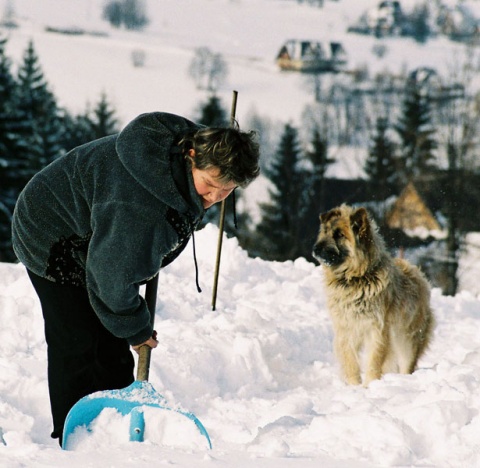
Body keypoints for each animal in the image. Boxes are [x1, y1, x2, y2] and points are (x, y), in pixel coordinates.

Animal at [312, 207, 436, 386]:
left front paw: (369, 386)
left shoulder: (377, 330)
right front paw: (354, 386)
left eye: (340, 235)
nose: (315, 249)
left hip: (407, 340)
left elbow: (373, 361)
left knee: (407, 364)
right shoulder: (346, 329)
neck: (356, 278)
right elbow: (350, 361)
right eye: (325, 231)